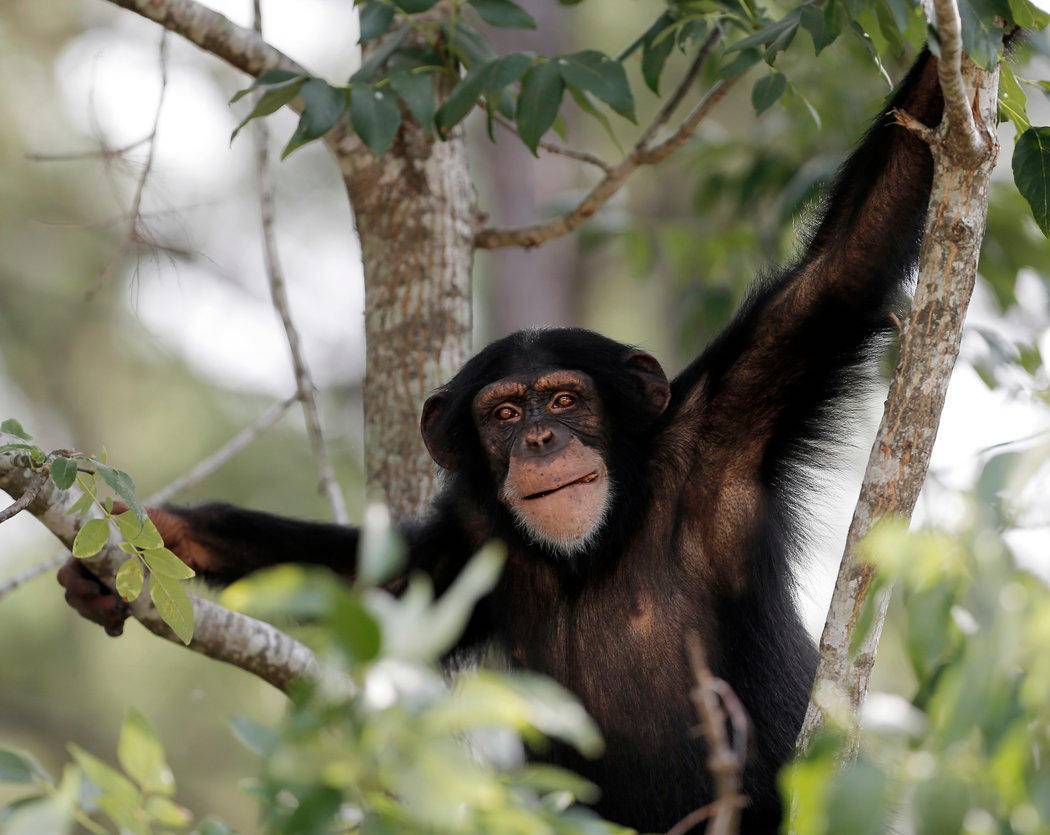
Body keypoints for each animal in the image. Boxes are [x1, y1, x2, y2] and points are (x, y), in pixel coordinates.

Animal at [59, 50, 944, 835]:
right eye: (505, 413)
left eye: (565, 397)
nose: (543, 437)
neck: (602, 542)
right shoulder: (473, 541)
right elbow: (377, 579)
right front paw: (160, 537)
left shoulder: (737, 414)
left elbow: (846, 259)